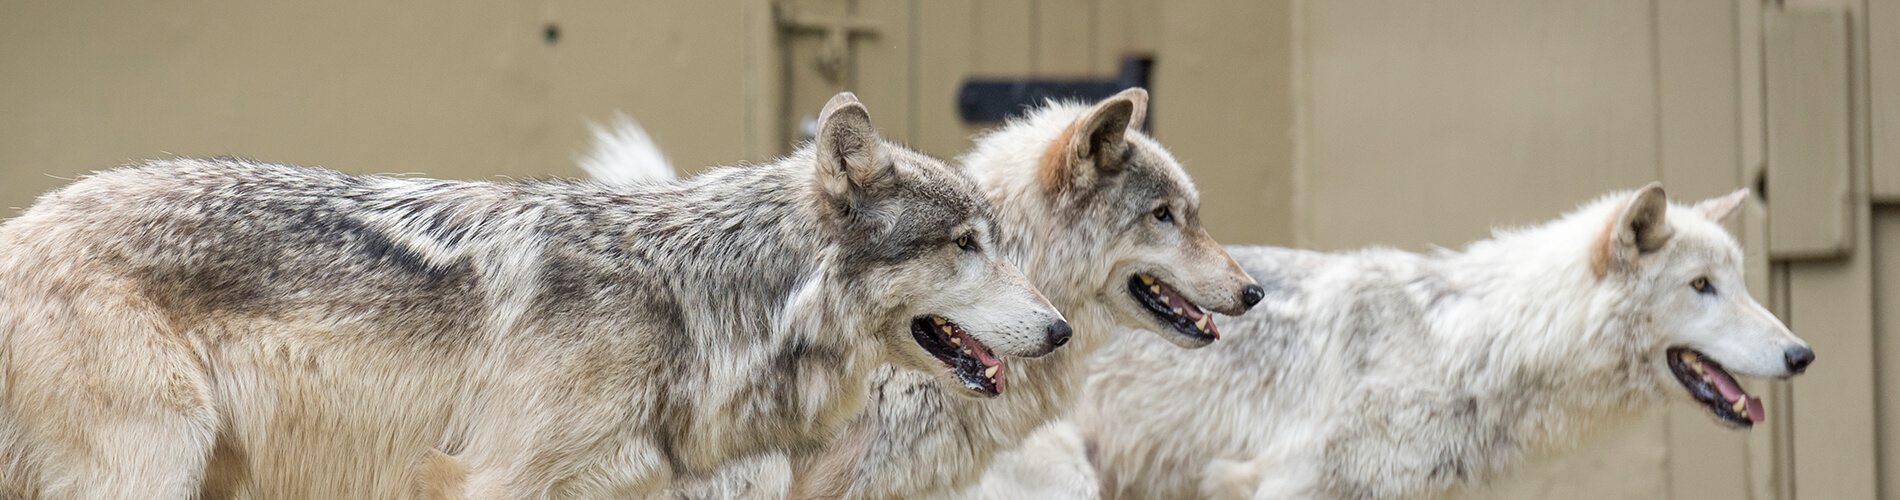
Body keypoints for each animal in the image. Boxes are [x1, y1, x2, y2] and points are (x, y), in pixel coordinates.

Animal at [0, 92, 1073, 499]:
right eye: (966, 244)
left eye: (994, 239)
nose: (1062, 329)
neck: (696, 300)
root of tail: (23, 226)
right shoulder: (495, 481)